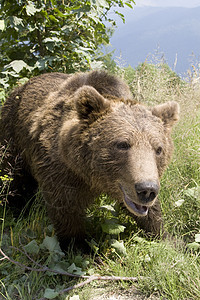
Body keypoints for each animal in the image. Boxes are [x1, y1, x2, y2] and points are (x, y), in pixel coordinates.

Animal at [0, 70, 180, 248]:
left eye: (158, 149)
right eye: (122, 144)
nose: (147, 190)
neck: (92, 176)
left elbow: (151, 213)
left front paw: (166, 237)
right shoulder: (61, 168)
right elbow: (65, 207)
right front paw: (79, 245)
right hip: (12, 137)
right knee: (13, 180)